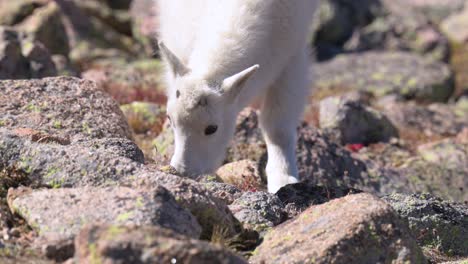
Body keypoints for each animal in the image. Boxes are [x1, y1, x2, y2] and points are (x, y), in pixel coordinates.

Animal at [157, 0, 318, 194]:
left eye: (212, 128)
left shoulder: (292, 55)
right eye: (169, 118)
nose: (183, 172)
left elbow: (278, 129)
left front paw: (284, 179)